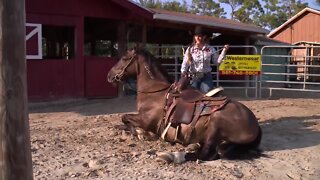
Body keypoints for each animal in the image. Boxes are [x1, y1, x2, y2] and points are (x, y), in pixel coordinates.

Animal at [106, 47, 262, 163]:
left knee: (207, 154)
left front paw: (140, 133)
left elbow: (125, 118)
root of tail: (254, 123)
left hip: (215, 124)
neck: (155, 92)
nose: (109, 76)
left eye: (124, 58)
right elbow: (122, 121)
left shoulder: (146, 120)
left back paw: (172, 156)